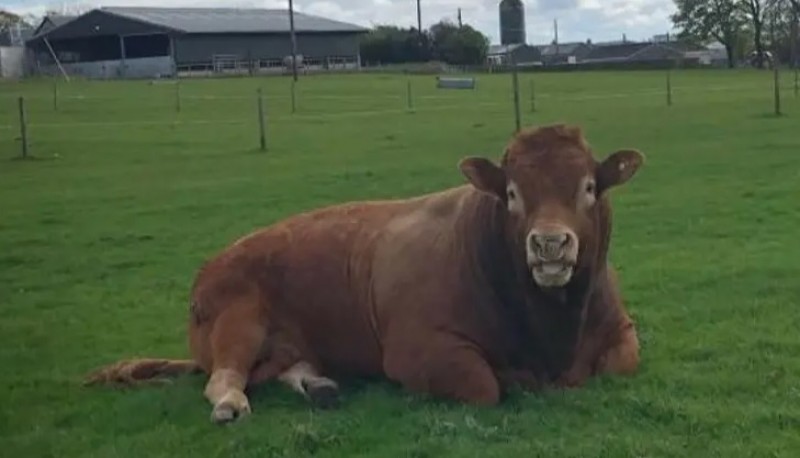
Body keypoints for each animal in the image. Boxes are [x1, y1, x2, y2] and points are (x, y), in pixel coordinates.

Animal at [86, 124, 644, 422]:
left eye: (588, 187)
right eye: (511, 193)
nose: (549, 243)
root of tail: (211, 266)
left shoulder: (621, 330)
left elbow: (624, 361)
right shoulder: (421, 351)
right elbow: (485, 385)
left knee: (284, 367)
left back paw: (320, 387)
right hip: (236, 321)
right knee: (224, 377)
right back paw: (230, 404)